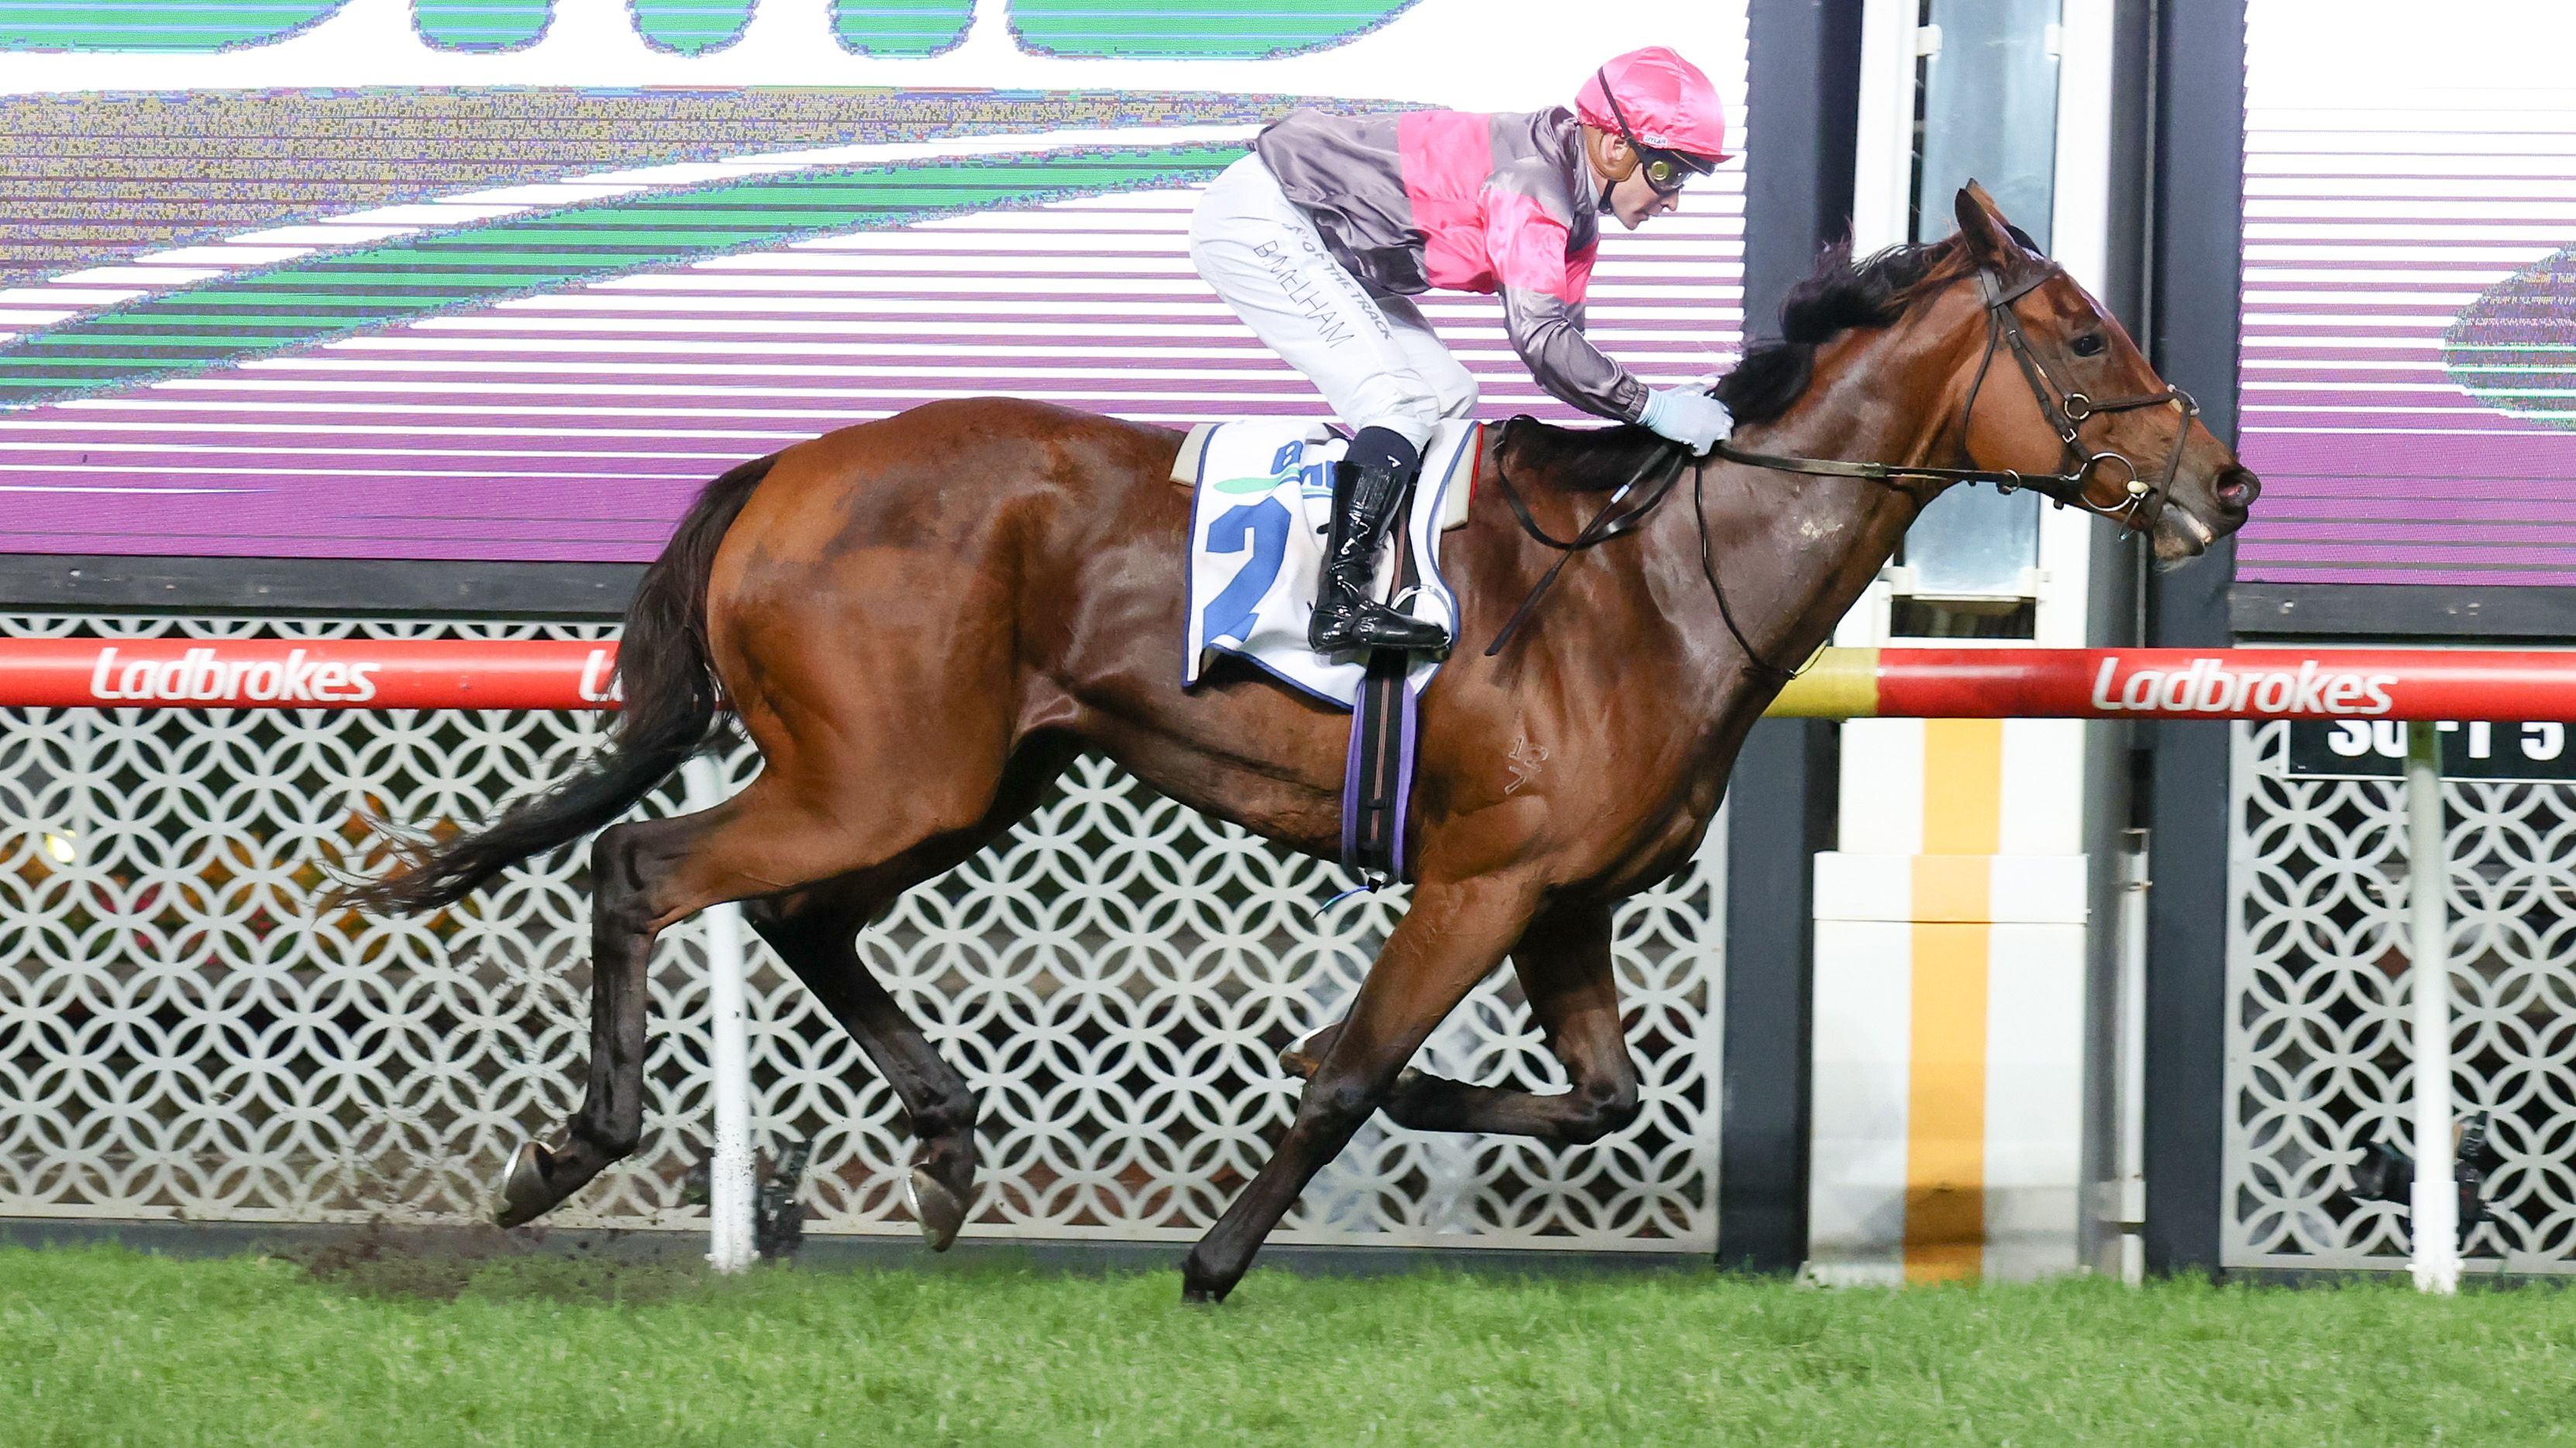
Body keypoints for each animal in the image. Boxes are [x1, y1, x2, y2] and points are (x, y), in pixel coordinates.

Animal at [347, 182, 2256, 1298]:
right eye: (2078, 332)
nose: (2222, 482)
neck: (1654, 572)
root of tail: (783, 468)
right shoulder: (1479, 879)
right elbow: (1346, 1079)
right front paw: (1212, 1258)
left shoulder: (1564, 899)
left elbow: (1597, 1094)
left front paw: (1395, 1088)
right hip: (877, 772)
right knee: (642, 863)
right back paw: (572, 1148)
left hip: (961, 780)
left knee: (799, 914)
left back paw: (949, 1150)